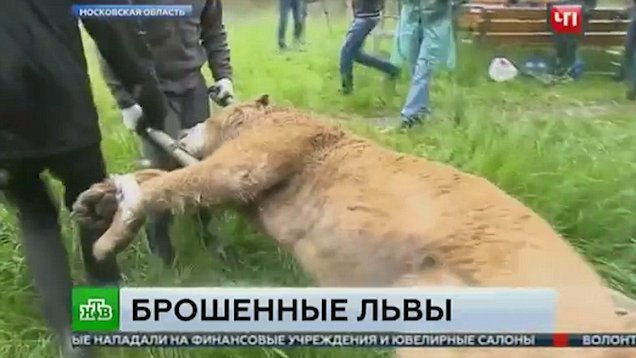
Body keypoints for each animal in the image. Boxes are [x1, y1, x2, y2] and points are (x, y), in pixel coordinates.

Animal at [73, 95, 636, 358]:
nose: (189, 124)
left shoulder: (258, 157)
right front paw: (93, 200)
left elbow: (180, 180)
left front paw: (108, 234)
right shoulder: (248, 191)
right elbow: (168, 177)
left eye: (214, 113)